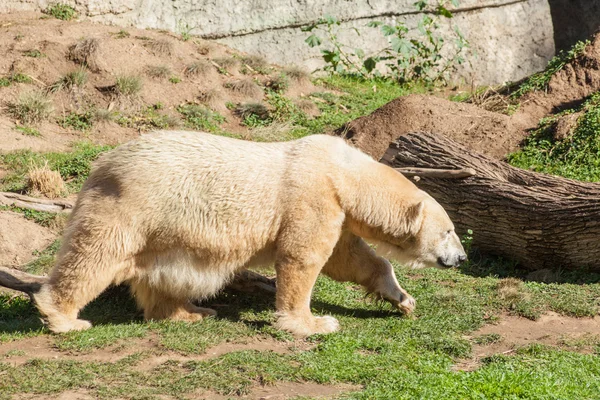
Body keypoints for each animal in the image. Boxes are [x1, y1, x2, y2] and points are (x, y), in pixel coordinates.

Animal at [4, 130, 466, 334]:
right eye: (448, 230)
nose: (461, 257)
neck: (344, 173)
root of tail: (101, 165)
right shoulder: (312, 197)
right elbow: (303, 258)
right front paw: (314, 322)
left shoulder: (334, 209)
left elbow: (351, 258)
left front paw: (402, 299)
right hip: (132, 206)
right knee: (95, 256)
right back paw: (65, 318)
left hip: (160, 230)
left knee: (157, 275)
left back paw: (191, 311)